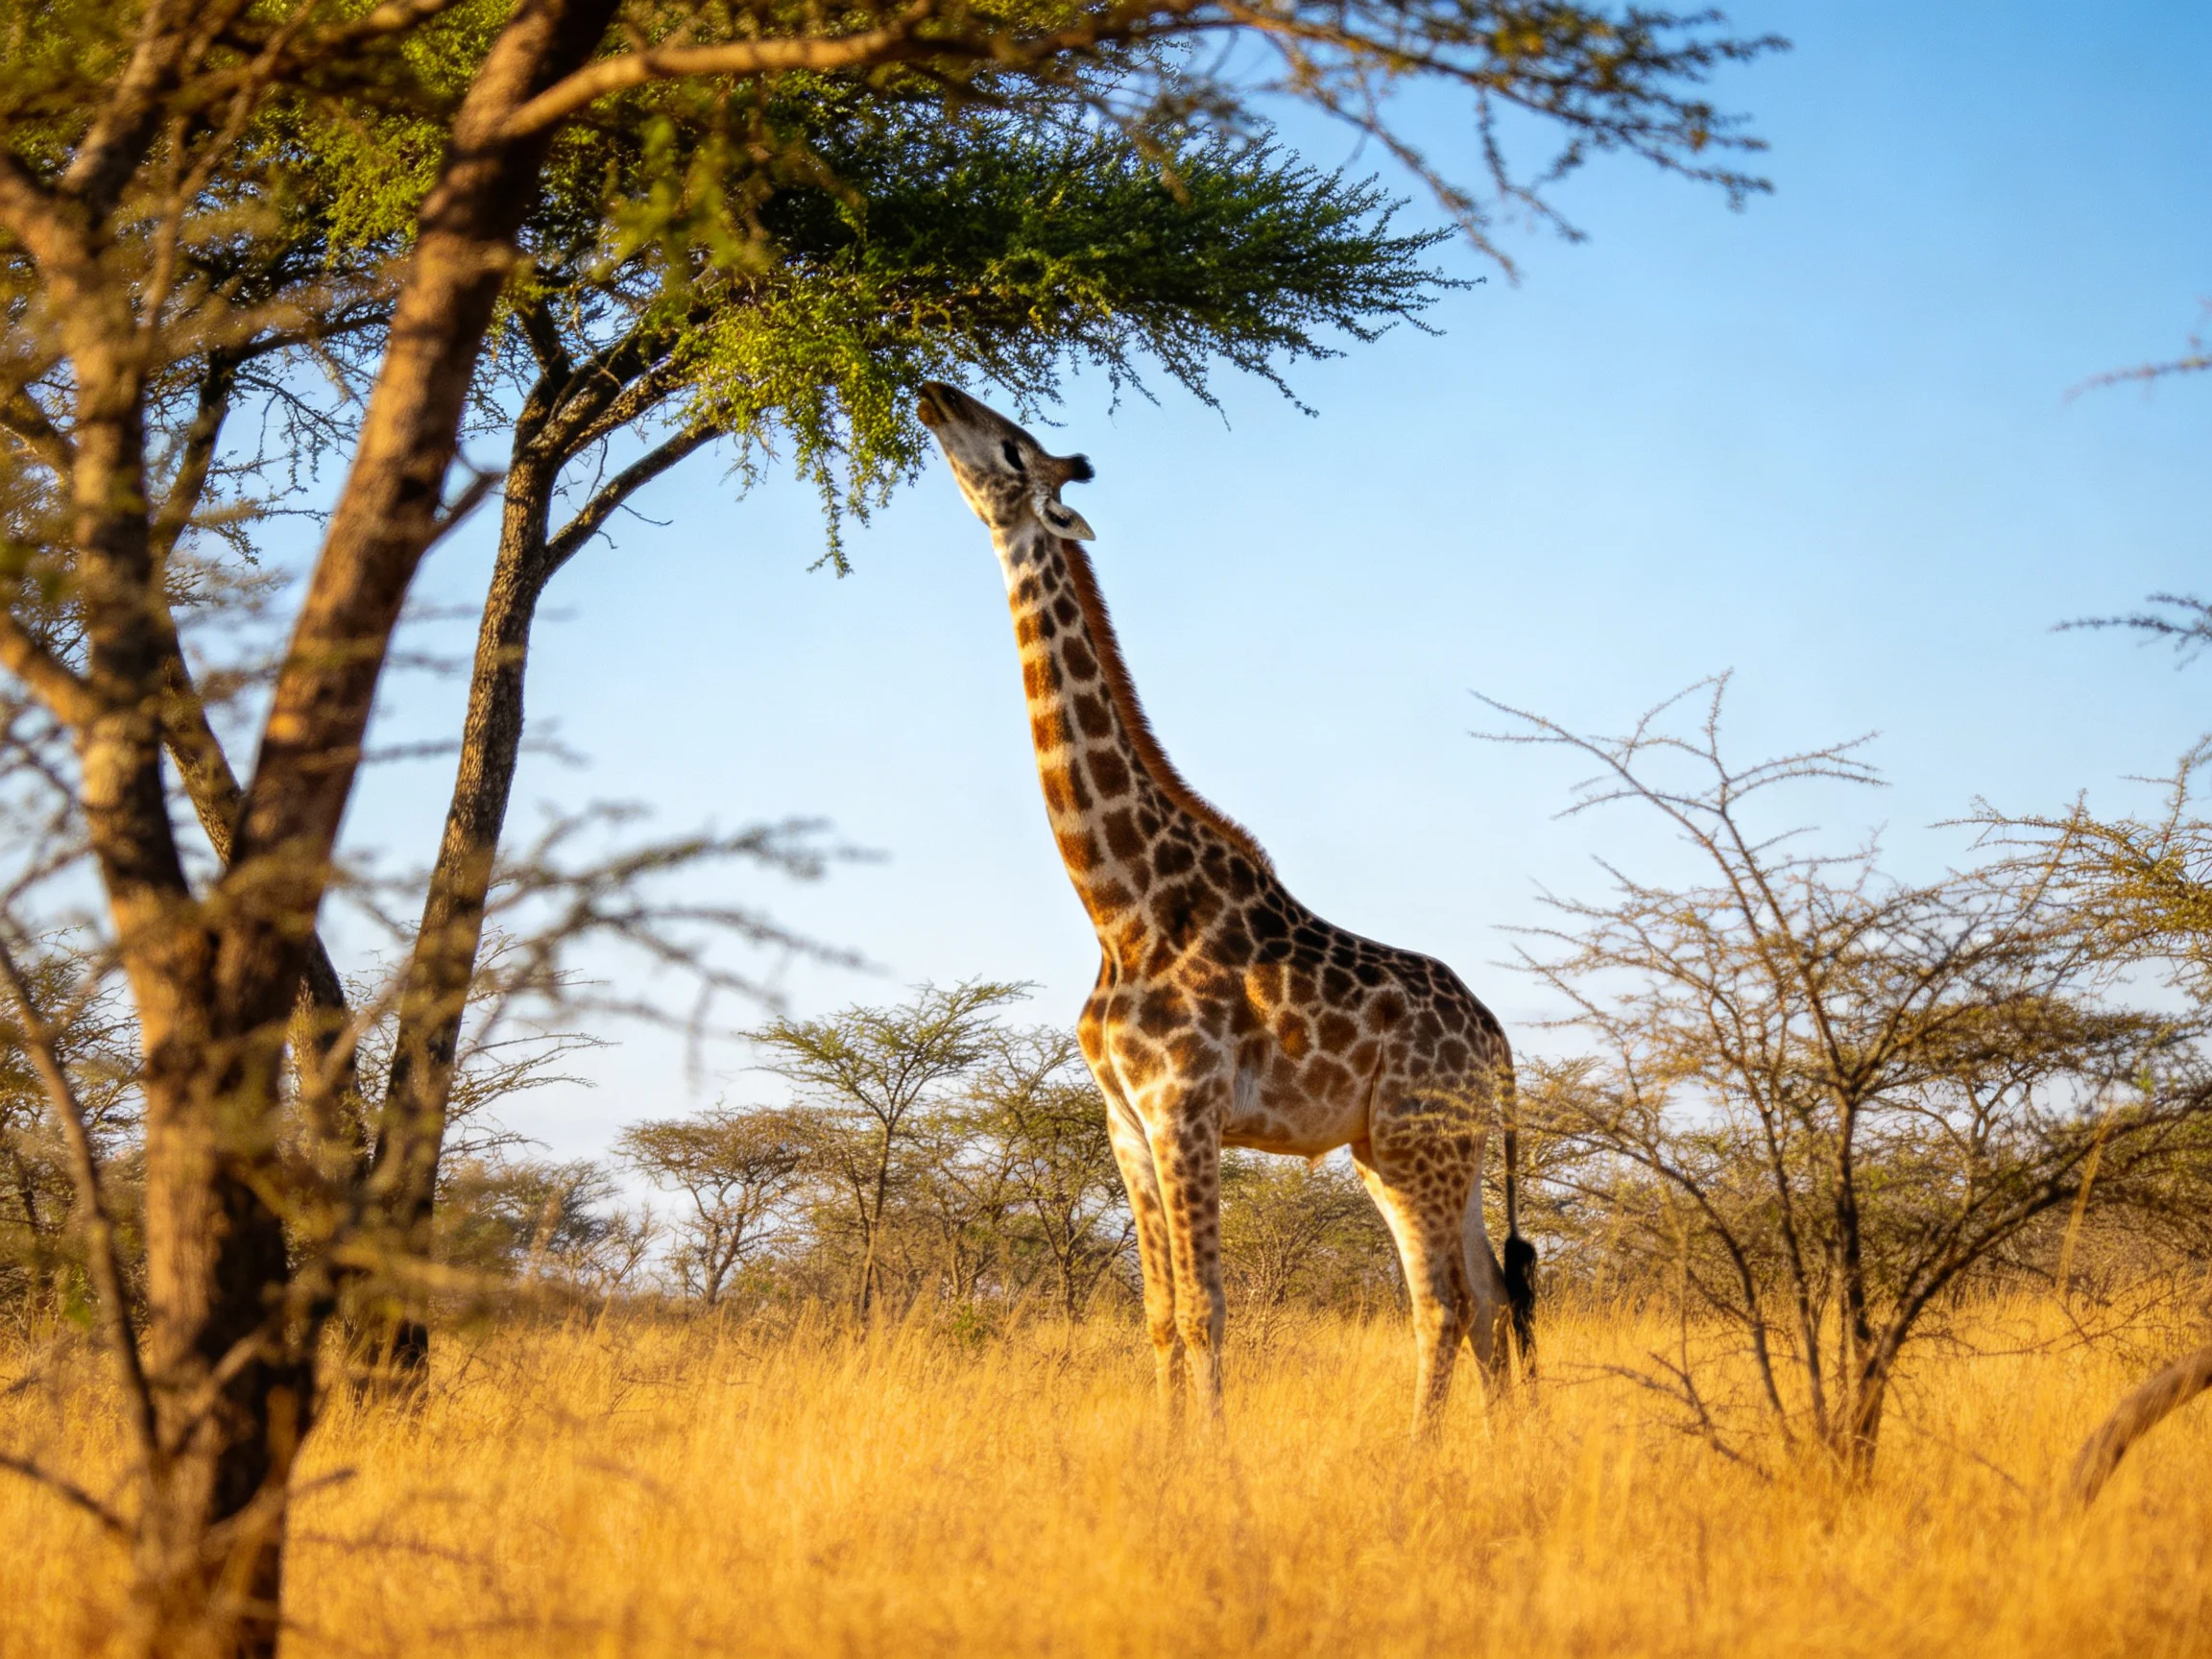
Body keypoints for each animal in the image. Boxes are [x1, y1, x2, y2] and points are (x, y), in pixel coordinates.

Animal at [915, 382, 1534, 1425]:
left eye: (1010, 447)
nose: (932, 394)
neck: (1123, 910)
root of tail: (1496, 1037)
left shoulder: (1185, 1106)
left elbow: (1207, 1307)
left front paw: (1212, 1462)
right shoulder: (1124, 1123)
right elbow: (1160, 1315)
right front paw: (1166, 1454)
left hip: (1415, 1146)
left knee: (1444, 1305)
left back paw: (1420, 1459)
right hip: (1425, 1149)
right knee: (1491, 1297)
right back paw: (1501, 1452)